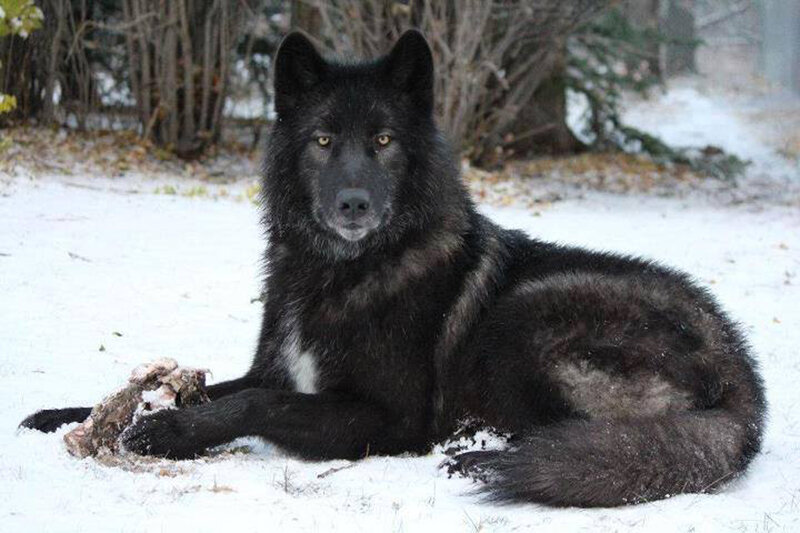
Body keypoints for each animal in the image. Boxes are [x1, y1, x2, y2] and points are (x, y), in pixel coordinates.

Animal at [20, 30, 765, 508]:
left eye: (382, 140)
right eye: (324, 140)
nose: (353, 201)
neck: (343, 273)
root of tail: (745, 383)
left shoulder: (387, 418)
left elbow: (251, 404)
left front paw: (161, 433)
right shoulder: (274, 368)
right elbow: (217, 391)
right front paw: (70, 415)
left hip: (525, 316)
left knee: (584, 439)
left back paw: (484, 456)